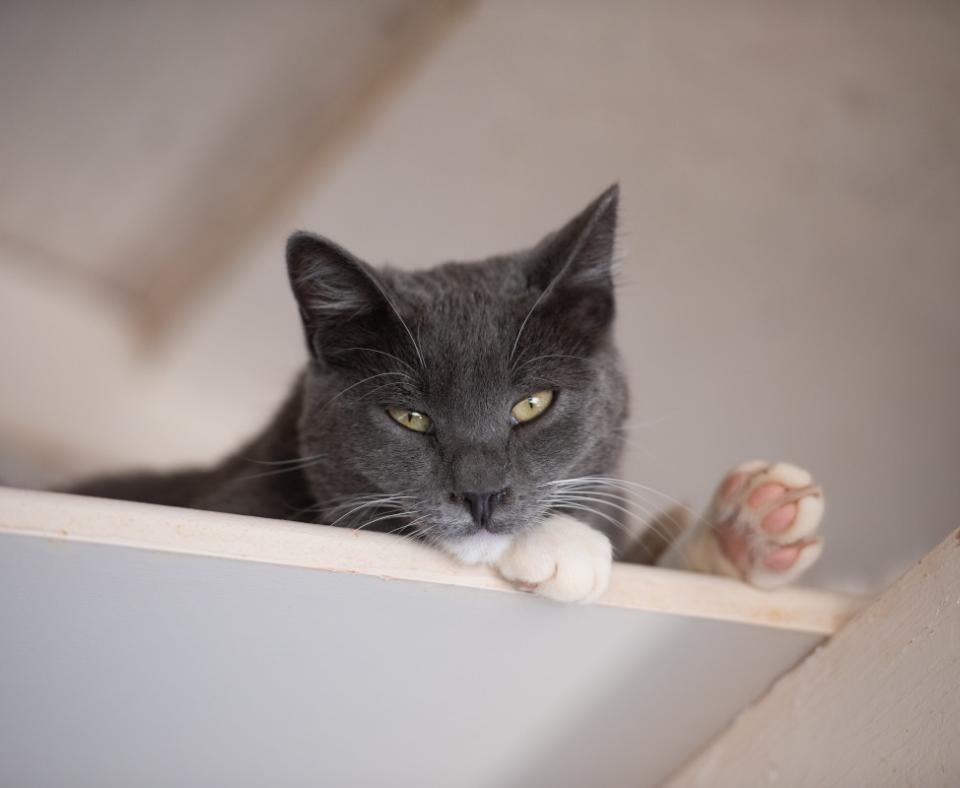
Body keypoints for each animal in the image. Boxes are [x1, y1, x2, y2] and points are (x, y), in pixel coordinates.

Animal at [73, 189, 824, 596]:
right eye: (409, 416)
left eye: (532, 404)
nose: (482, 495)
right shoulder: (236, 507)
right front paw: (563, 544)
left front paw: (751, 528)